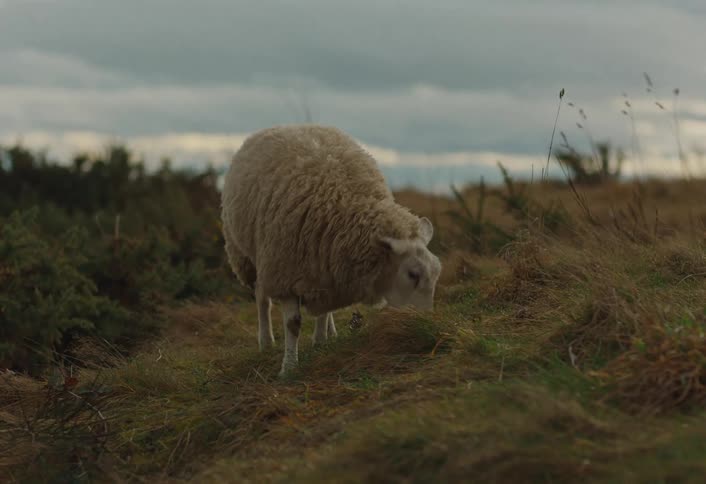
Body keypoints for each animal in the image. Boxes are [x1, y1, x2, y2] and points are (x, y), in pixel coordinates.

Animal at [220, 124, 442, 376]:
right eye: (412, 275)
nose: (426, 322)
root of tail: (284, 126)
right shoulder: (284, 273)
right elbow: (293, 324)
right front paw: (289, 368)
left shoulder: (326, 265)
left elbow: (323, 312)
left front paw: (320, 342)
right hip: (248, 258)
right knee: (261, 299)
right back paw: (266, 341)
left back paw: (329, 333)